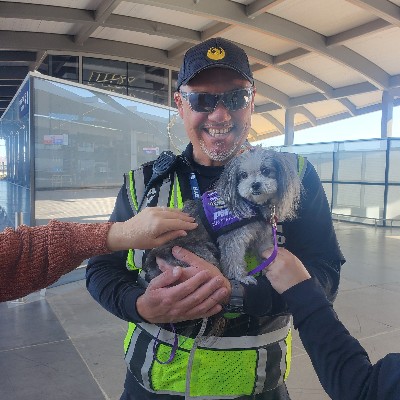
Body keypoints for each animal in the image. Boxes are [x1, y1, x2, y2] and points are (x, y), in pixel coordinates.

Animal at [142, 147, 302, 284]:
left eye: (266, 170)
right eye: (243, 175)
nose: (255, 185)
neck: (252, 205)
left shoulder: (261, 236)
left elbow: (266, 251)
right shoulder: (233, 239)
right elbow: (234, 259)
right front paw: (241, 277)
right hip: (201, 253)